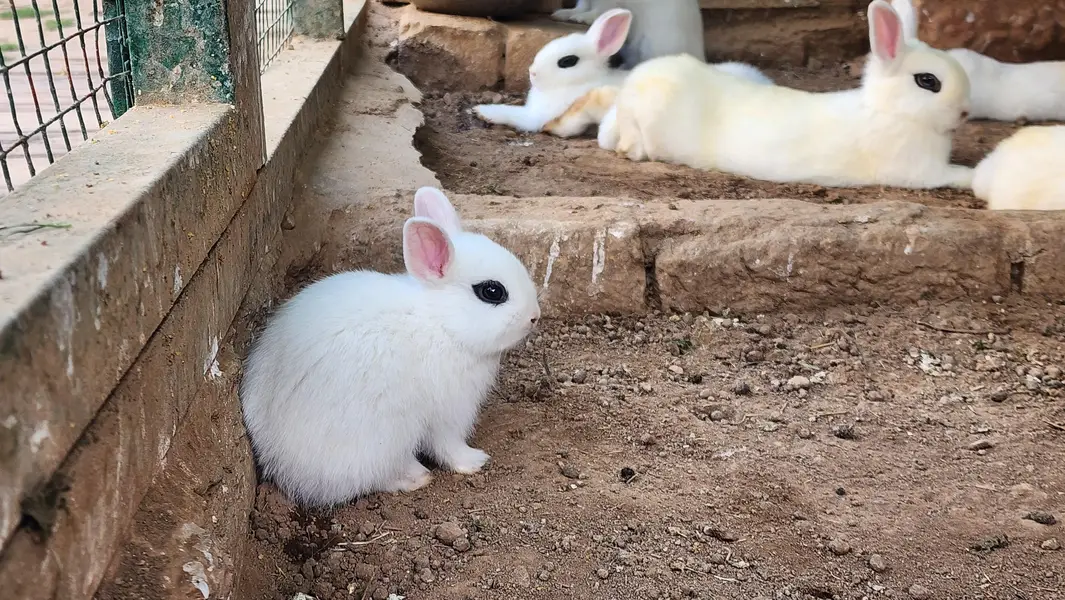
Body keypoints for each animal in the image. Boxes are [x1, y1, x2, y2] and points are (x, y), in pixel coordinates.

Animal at [240, 187, 541, 507]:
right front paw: (474, 461)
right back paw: (415, 477)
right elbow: (448, 445)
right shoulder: (449, 412)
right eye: (492, 292)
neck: (442, 323)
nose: (535, 316)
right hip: (382, 439)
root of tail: (278, 462)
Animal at [599, 0, 974, 189]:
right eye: (928, 81)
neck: (891, 111)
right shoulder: (919, 172)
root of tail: (634, 86)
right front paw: (974, 175)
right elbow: (953, 175)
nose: (965, 112)